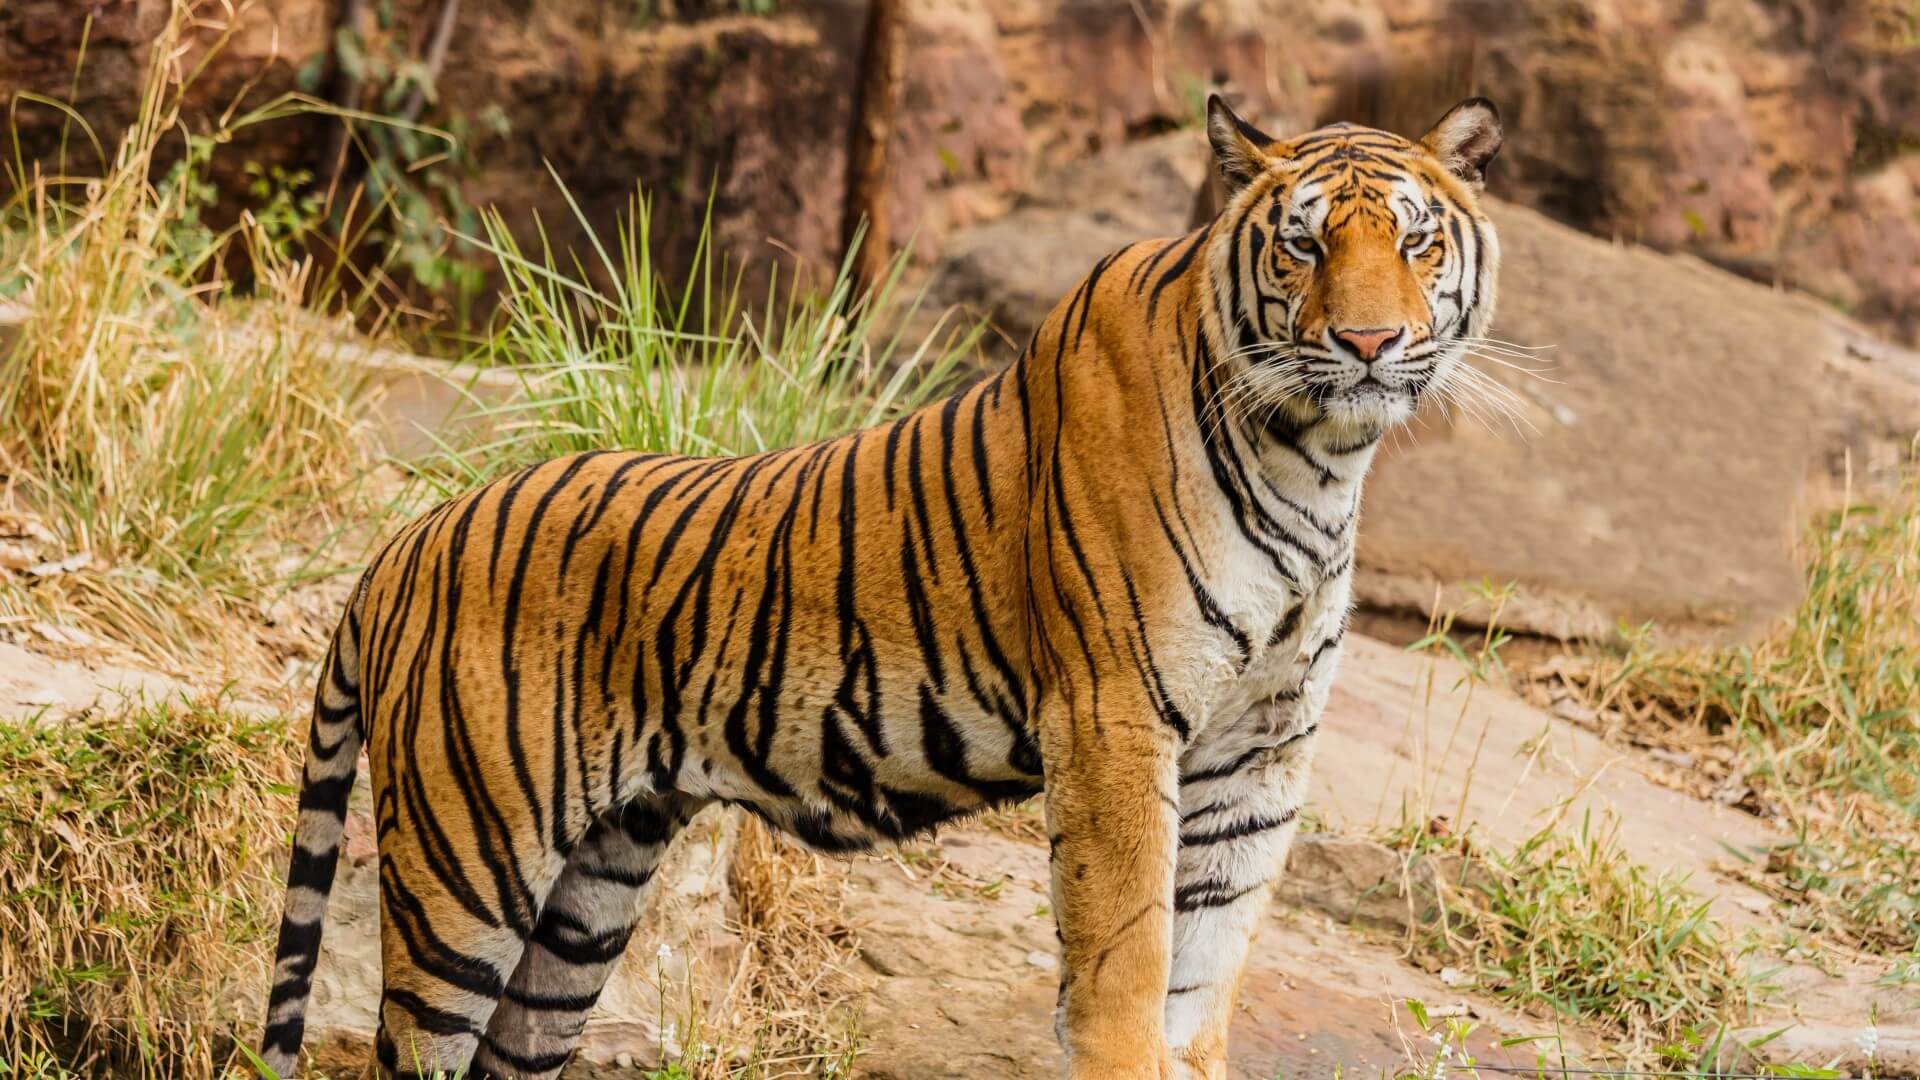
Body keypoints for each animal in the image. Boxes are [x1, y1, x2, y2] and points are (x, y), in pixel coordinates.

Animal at [263, 94, 1505, 1076]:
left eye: (1416, 243)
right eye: (1302, 246)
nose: (1367, 342)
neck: (1318, 458)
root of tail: (406, 542)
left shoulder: (1262, 749)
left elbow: (1205, 969)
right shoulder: (1114, 719)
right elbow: (1127, 959)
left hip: (588, 897)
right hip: (467, 868)